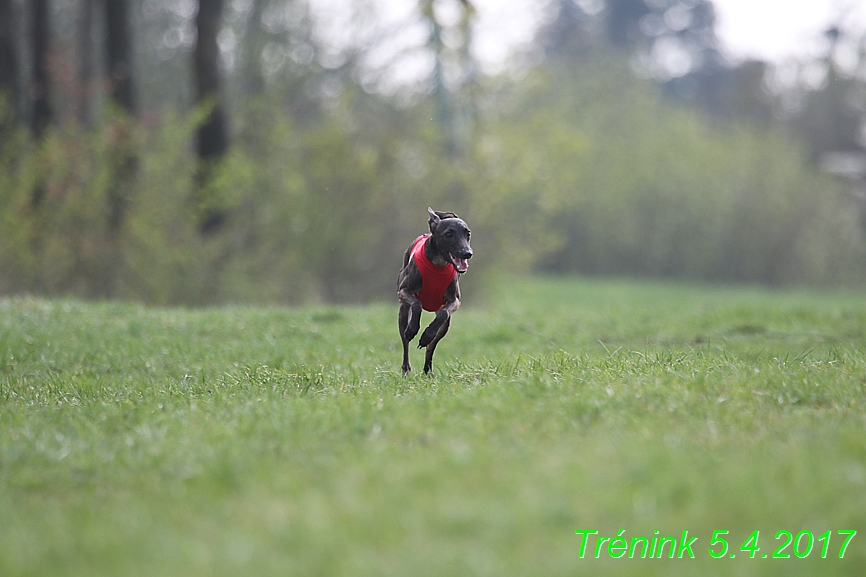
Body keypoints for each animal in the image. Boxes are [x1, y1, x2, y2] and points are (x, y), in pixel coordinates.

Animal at [396, 207, 472, 374]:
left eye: (468, 233)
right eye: (448, 234)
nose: (467, 253)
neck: (438, 265)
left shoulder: (454, 301)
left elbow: (443, 313)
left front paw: (427, 334)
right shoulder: (403, 291)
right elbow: (417, 304)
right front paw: (413, 329)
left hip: (445, 326)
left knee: (431, 345)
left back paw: (427, 370)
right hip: (403, 312)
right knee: (405, 341)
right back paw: (406, 368)